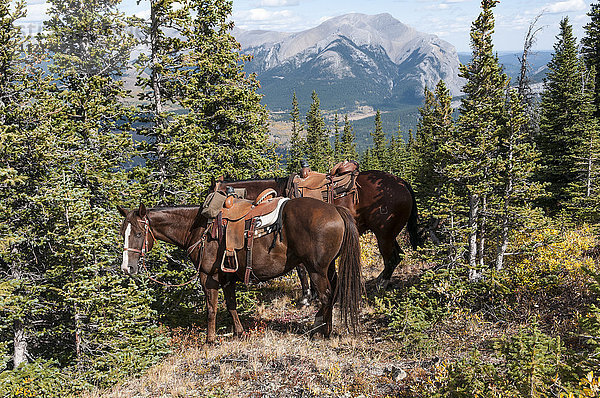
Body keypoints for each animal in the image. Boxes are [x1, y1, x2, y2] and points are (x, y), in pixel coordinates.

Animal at [117, 199, 360, 346]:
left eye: (138, 233)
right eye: (122, 233)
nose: (127, 268)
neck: (199, 229)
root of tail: (336, 210)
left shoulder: (208, 277)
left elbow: (211, 309)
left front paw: (210, 340)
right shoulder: (227, 277)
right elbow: (231, 304)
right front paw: (239, 332)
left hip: (316, 269)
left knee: (326, 296)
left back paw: (321, 331)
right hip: (329, 267)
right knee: (334, 292)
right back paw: (324, 328)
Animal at [213, 169, 420, 292]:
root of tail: (403, 183)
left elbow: (301, 270)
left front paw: (307, 295)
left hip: (384, 234)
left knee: (391, 258)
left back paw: (379, 284)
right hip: (390, 234)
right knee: (398, 256)